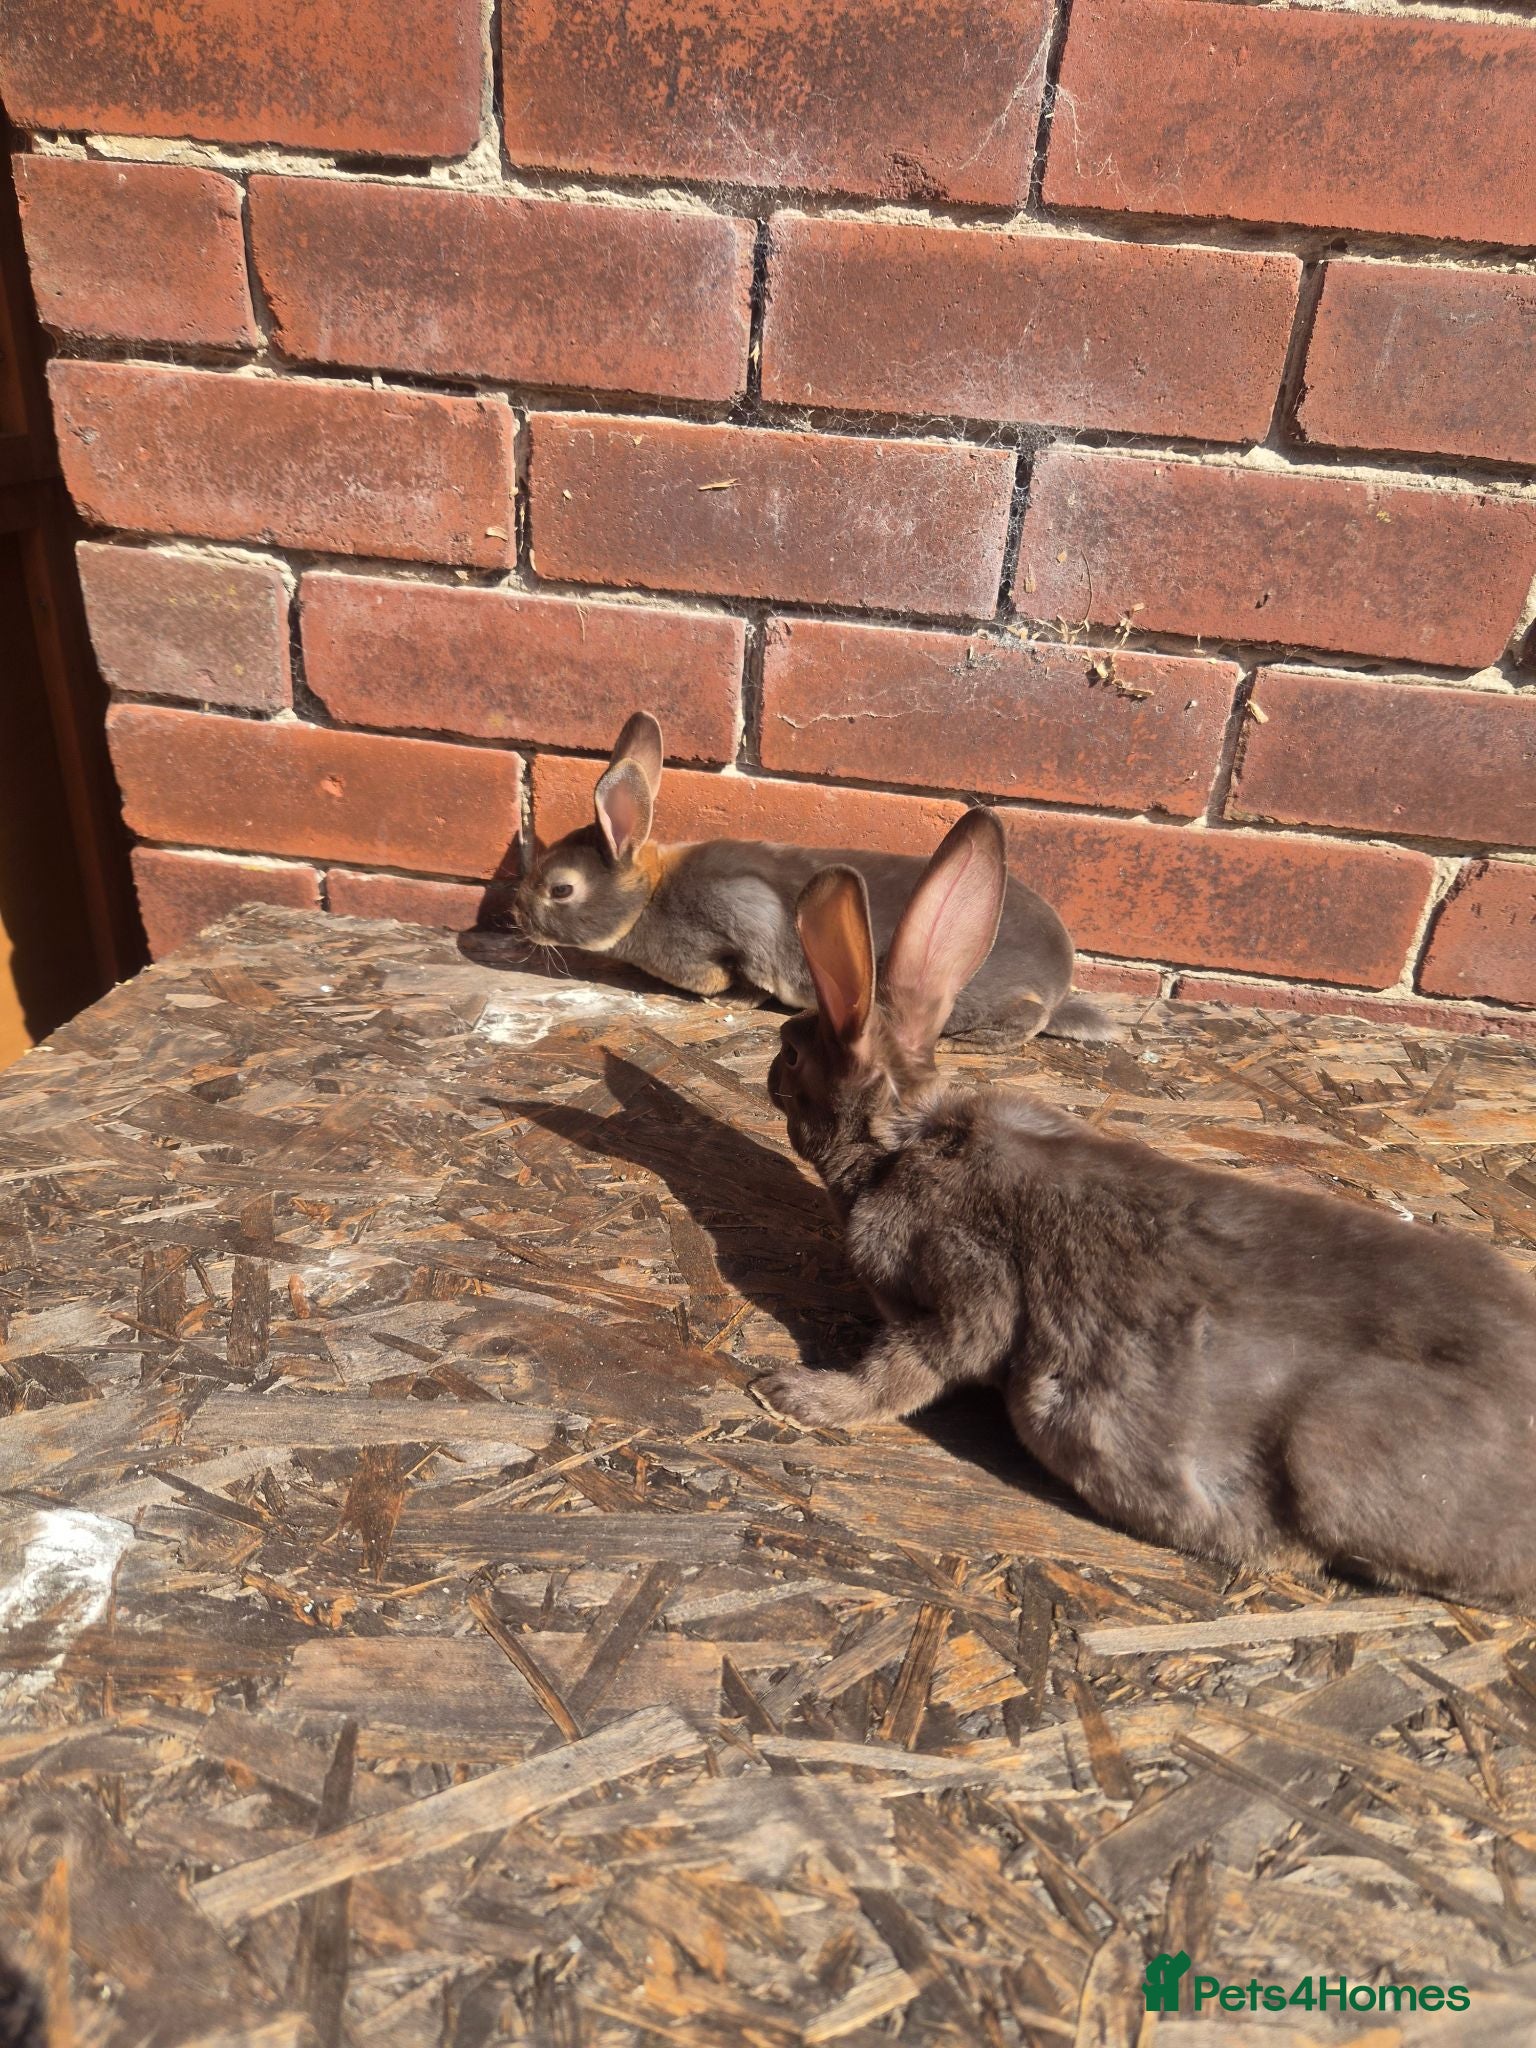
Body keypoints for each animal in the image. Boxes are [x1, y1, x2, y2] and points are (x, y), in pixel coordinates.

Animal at [513, 711, 1114, 1041]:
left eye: (560, 889)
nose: (516, 918)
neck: (649, 896)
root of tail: (1060, 975)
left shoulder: (741, 911)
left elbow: (754, 968)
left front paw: (733, 1003)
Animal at [758, 807, 1536, 1607]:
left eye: (793, 1054)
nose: (769, 1075)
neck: (902, 1143)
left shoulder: (964, 1282)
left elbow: (919, 1364)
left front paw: (795, 1394)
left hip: (1332, 1453)